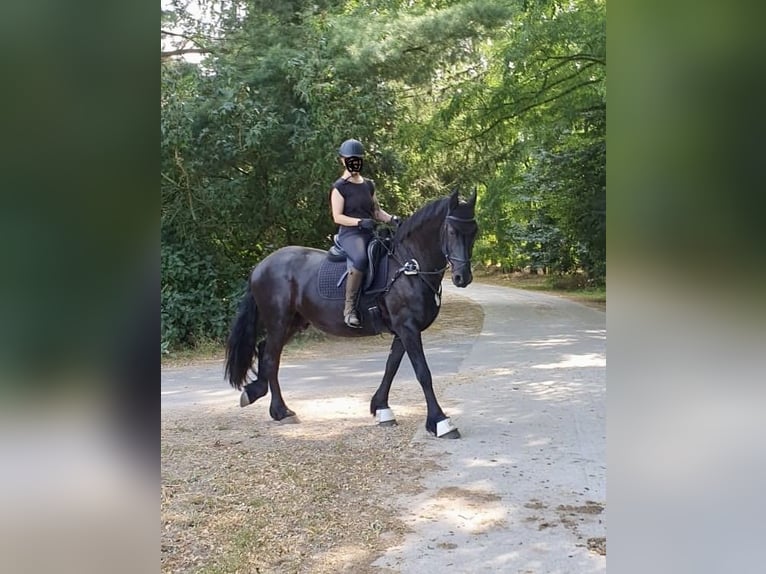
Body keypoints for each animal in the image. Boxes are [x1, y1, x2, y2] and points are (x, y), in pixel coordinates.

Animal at [224, 189, 478, 438]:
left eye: (474, 231)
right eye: (452, 231)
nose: (462, 277)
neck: (409, 266)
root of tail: (261, 266)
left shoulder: (402, 330)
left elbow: (391, 367)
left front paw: (381, 408)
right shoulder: (408, 328)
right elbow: (423, 372)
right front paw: (440, 422)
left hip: (293, 323)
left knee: (265, 350)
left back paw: (260, 395)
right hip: (279, 321)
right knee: (270, 358)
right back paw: (280, 410)